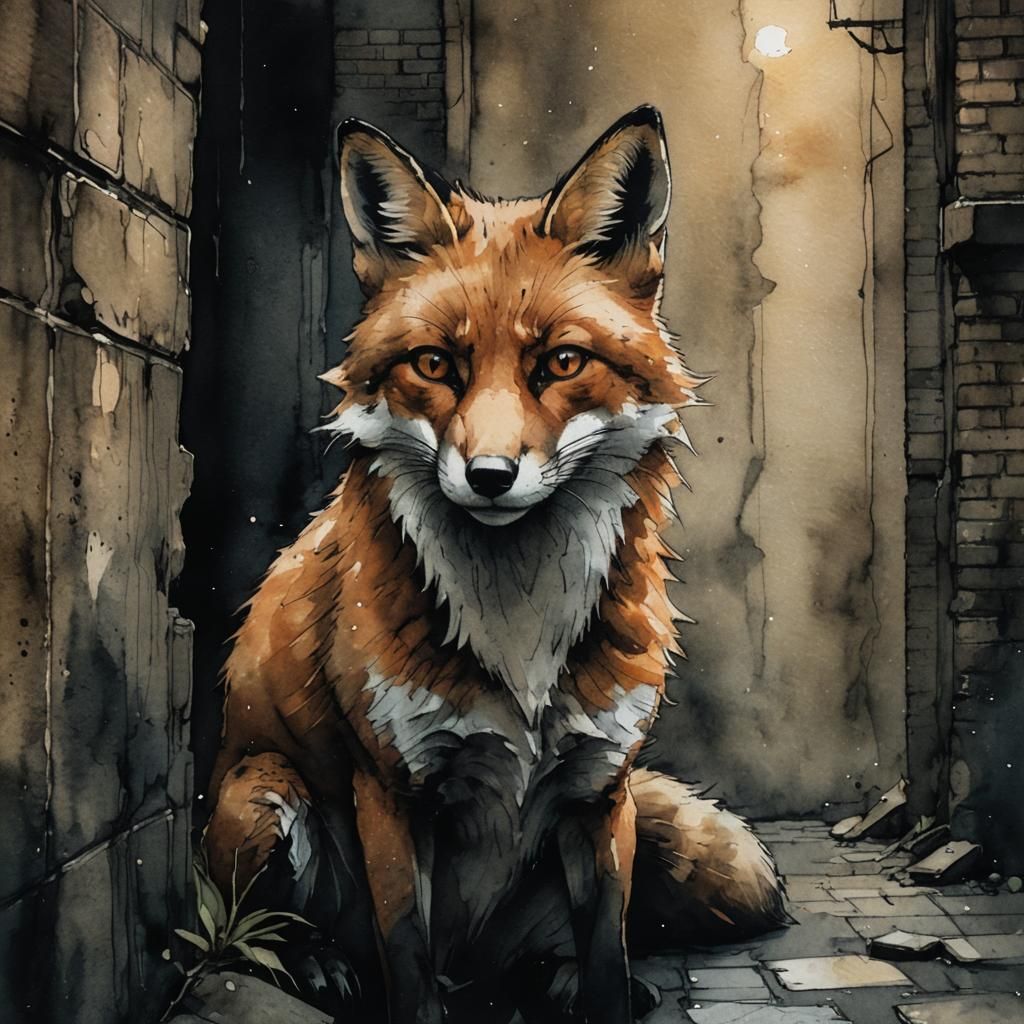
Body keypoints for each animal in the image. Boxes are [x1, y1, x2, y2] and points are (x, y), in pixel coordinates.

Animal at [203, 106, 787, 1024]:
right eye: (436, 364)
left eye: (562, 362)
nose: (488, 475)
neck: (519, 628)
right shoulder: (392, 790)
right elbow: (406, 965)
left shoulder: (600, 789)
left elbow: (607, 949)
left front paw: (603, 991)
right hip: (261, 793)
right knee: (260, 933)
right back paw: (319, 966)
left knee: (552, 961)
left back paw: (555, 982)